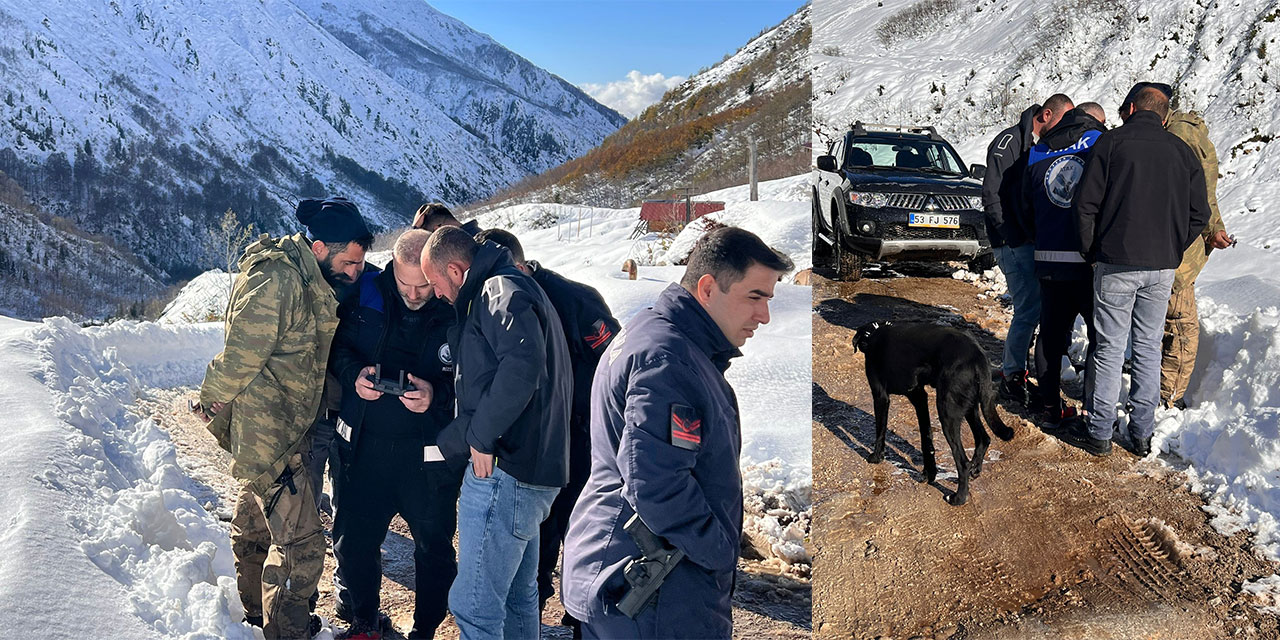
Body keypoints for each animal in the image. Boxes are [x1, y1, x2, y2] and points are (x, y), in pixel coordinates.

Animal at [855, 322, 1013, 501]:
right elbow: (926, 438)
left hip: (947, 412)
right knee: (983, 438)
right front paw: (929, 473)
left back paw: (958, 498)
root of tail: (977, 355)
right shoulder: (919, 398)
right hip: (969, 407)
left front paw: (876, 457)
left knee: (962, 462)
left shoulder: (880, 396)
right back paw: (975, 470)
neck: (874, 334)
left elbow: (880, 431)